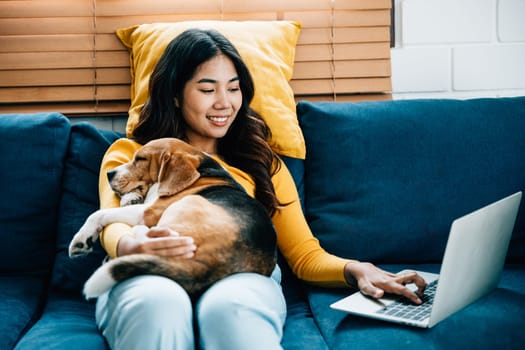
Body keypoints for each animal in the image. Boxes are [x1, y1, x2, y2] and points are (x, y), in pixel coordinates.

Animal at [68, 137, 278, 298]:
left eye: (141, 158)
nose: (109, 174)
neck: (202, 169)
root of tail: (218, 263)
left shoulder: (149, 211)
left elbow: (99, 214)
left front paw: (81, 239)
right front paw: (131, 197)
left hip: (187, 204)